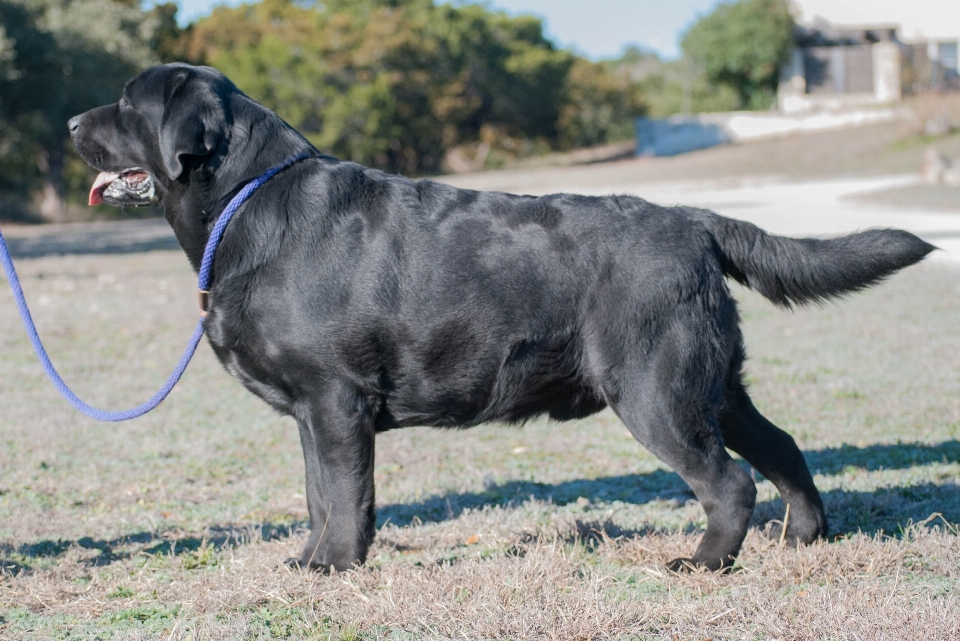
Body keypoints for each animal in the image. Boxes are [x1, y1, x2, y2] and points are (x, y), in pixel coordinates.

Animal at [69, 65, 936, 568]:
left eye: (126, 102)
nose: (73, 124)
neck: (250, 201)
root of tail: (694, 220)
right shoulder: (317, 413)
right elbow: (320, 495)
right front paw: (313, 557)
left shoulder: (335, 399)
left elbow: (344, 494)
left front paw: (334, 565)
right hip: (714, 383)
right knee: (781, 446)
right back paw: (805, 537)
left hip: (654, 390)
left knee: (728, 481)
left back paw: (703, 562)